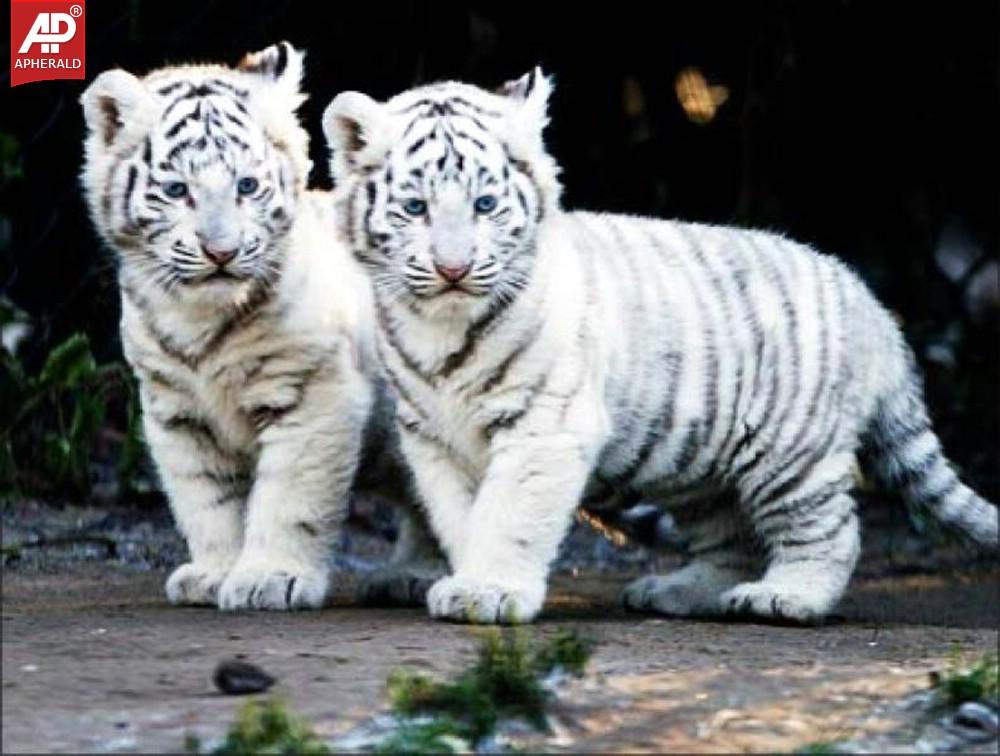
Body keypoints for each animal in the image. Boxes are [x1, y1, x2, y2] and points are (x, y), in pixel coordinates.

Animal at [80, 42, 442, 611]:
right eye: (177, 190)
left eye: (247, 186)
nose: (221, 252)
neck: (199, 319)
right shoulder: (176, 411)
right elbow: (205, 500)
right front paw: (213, 574)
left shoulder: (314, 393)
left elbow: (290, 495)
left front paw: (272, 578)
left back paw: (416, 574)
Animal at [320, 68, 999, 624]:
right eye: (415, 208)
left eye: (486, 205)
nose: (454, 269)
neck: (441, 329)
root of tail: (871, 303)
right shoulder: (435, 438)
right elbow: (461, 516)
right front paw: (466, 578)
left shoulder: (545, 427)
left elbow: (509, 513)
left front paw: (489, 591)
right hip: (698, 464)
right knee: (732, 539)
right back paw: (679, 591)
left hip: (791, 453)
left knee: (828, 531)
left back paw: (787, 598)